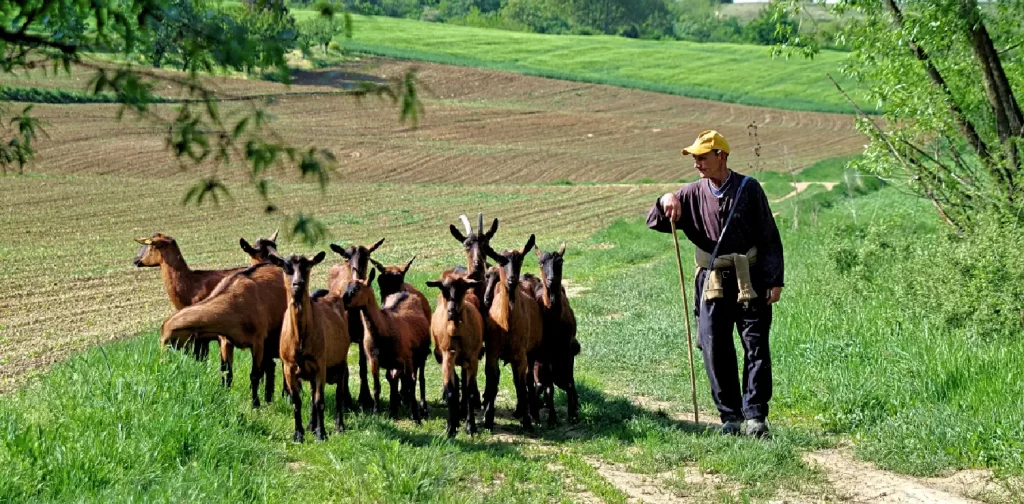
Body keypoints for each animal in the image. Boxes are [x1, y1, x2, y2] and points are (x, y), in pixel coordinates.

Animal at [268, 252, 352, 440]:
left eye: (307, 266)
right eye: (286, 267)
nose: (298, 284)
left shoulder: (320, 364)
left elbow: (320, 400)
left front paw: (321, 434)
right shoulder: (289, 367)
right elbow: (297, 401)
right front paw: (298, 434)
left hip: (340, 362)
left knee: (339, 394)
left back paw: (339, 426)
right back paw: (310, 426)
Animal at [329, 238, 385, 411]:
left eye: (367, 255)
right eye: (346, 257)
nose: (357, 279)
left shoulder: (362, 337)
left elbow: (363, 367)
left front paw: (365, 398)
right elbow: (346, 369)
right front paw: (347, 400)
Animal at [339, 270, 428, 424]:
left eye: (356, 289)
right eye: (346, 287)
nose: (341, 301)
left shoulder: (407, 359)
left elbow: (411, 384)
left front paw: (416, 417)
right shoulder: (374, 360)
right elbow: (377, 387)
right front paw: (376, 412)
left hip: (420, 356)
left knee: (420, 378)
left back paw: (421, 408)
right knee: (394, 379)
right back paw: (394, 410)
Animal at [425, 272, 485, 436]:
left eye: (462, 289)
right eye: (444, 289)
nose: (452, 312)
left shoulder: (472, 358)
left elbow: (470, 392)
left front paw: (471, 427)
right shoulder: (448, 356)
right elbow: (451, 391)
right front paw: (450, 428)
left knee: (464, 383)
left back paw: (463, 414)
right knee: (457, 382)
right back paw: (457, 418)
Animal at [479, 234, 544, 430]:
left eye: (520, 259)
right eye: (501, 260)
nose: (512, 279)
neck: (506, 324)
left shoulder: (520, 354)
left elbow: (521, 385)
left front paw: (527, 421)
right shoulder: (492, 352)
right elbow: (493, 383)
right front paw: (488, 418)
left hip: (531, 351)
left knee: (527, 379)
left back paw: (528, 411)